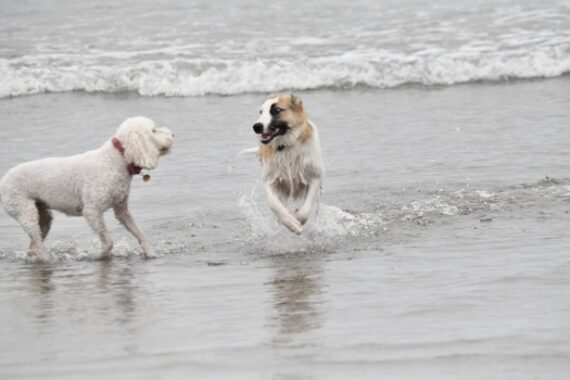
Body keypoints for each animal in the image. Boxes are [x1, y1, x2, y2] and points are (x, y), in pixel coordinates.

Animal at [0, 117, 173, 262]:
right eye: (154, 130)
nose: (173, 134)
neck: (116, 159)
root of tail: (3, 180)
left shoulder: (121, 208)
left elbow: (139, 233)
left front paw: (150, 253)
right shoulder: (92, 210)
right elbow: (108, 241)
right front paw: (98, 255)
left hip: (43, 215)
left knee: (34, 242)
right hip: (24, 210)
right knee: (36, 241)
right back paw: (48, 259)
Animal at [241, 95, 322, 235]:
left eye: (276, 110)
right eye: (261, 112)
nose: (256, 126)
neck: (285, 146)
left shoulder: (314, 175)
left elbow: (306, 208)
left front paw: (298, 220)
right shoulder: (270, 178)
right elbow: (273, 203)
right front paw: (291, 222)